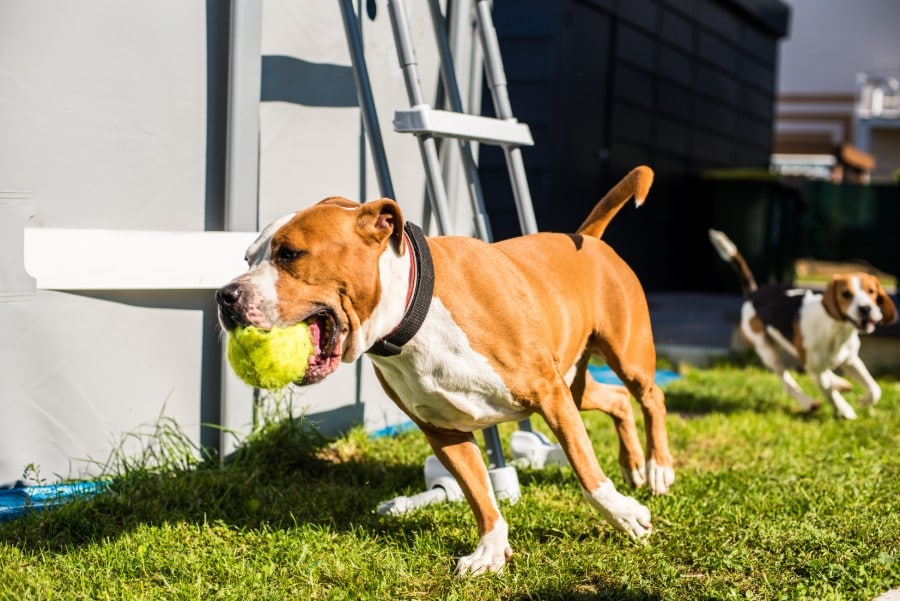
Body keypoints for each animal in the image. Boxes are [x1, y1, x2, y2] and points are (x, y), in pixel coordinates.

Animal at [214, 166, 672, 576]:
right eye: (247, 258)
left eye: (290, 254)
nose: (225, 295)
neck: (412, 316)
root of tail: (588, 238)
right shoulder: (445, 432)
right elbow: (479, 493)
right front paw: (491, 549)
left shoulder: (549, 394)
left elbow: (584, 466)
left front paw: (623, 514)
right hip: (576, 385)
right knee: (617, 400)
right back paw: (634, 464)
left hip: (623, 358)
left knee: (651, 395)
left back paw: (658, 468)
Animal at [712, 227, 892, 420]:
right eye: (846, 294)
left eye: (871, 291)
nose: (865, 308)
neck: (835, 331)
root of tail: (754, 293)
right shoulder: (817, 372)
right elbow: (830, 393)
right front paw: (844, 410)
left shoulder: (851, 359)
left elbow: (874, 388)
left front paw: (864, 400)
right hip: (767, 350)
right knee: (786, 380)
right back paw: (808, 402)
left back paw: (839, 383)